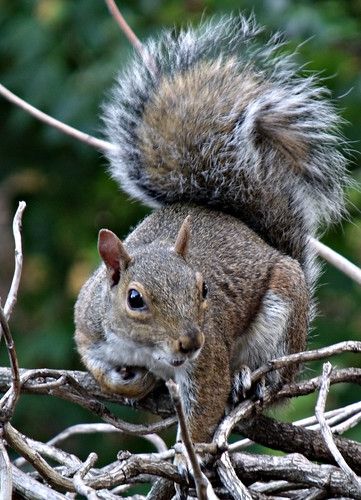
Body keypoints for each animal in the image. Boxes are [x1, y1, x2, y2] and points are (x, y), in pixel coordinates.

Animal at [73, 14, 346, 442]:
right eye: (135, 300)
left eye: (204, 289)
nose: (190, 340)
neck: (146, 350)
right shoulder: (89, 328)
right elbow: (96, 366)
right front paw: (128, 384)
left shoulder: (209, 357)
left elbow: (204, 409)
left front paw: (191, 453)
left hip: (283, 313)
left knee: (276, 377)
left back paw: (251, 380)